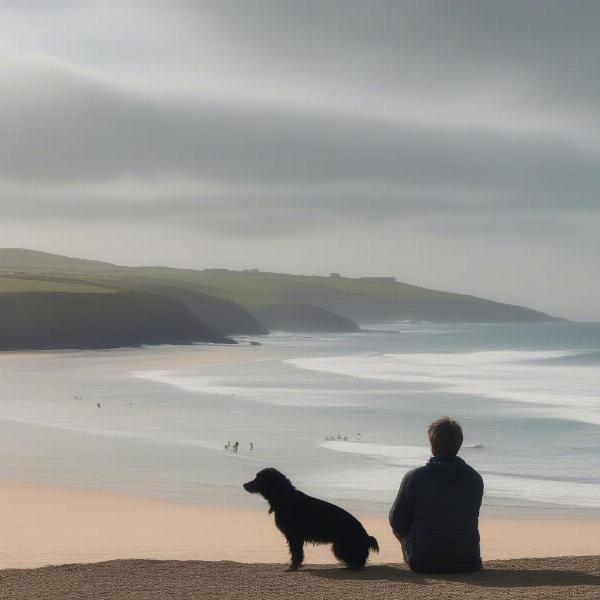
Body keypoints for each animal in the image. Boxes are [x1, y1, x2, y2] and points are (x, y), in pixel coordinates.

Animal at [241, 466, 378, 568]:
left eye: (258, 478)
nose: (244, 485)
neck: (285, 497)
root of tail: (365, 536)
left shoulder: (293, 536)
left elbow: (296, 553)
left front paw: (293, 567)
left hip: (341, 547)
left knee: (359, 560)